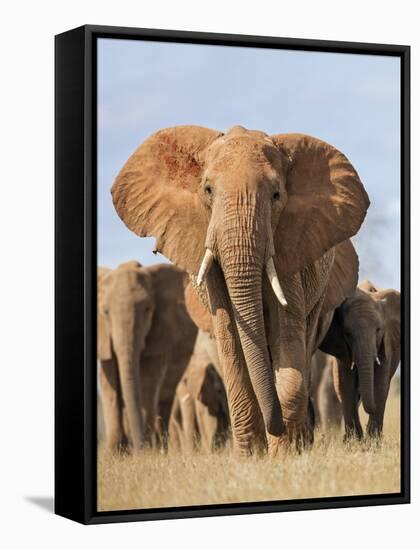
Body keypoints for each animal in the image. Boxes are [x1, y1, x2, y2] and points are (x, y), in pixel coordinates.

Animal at [98, 260, 197, 450]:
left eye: (148, 309)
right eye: (105, 312)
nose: (139, 448)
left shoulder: (160, 333)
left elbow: (147, 381)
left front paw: (147, 450)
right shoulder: (103, 339)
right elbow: (109, 385)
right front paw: (115, 452)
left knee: (164, 399)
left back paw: (161, 446)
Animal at [110, 125, 368, 458]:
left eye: (276, 195)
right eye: (207, 190)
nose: (277, 429)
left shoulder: (292, 248)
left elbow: (288, 337)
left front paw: (284, 453)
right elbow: (230, 339)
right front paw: (251, 457)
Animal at [322, 280, 400, 440]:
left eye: (378, 330)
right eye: (347, 333)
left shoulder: (386, 341)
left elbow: (380, 383)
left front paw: (373, 441)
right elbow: (345, 383)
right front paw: (354, 441)